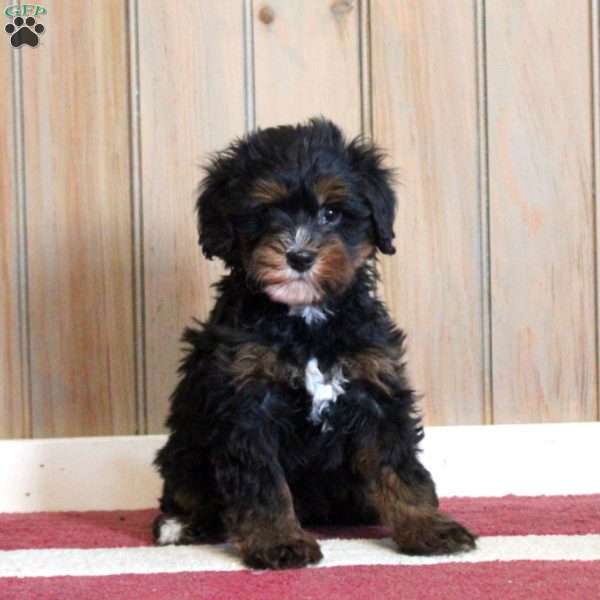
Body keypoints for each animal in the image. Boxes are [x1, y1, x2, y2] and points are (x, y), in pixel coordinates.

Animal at [152, 116, 476, 568]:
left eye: (332, 213)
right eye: (265, 213)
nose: (300, 256)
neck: (306, 319)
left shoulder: (373, 384)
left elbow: (398, 464)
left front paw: (427, 528)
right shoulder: (247, 398)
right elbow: (262, 481)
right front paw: (278, 542)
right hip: (185, 444)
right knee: (185, 488)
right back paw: (180, 524)